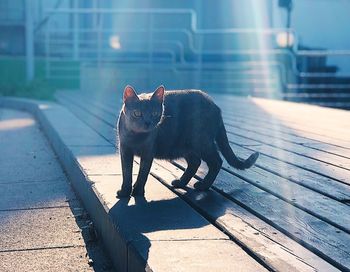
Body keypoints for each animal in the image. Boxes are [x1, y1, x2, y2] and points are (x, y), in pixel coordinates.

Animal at [116, 85, 258, 198]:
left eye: (155, 113)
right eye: (137, 113)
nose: (148, 123)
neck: (136, 137)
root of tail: (215, 106)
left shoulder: (148, 152)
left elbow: (143, 174)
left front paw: (138, 191)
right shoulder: (124, 151)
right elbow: (126, 172)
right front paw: (125, 192)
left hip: (202, 142)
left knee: (217, 161)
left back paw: (203, 185)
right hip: (187, 146)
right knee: (195, 162)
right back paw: (181, 182)